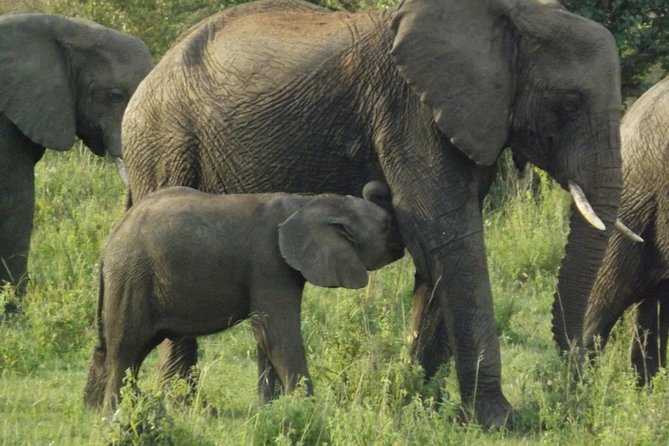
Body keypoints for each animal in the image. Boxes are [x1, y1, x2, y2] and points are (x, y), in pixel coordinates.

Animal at [83, 182, 404, 412]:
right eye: (386, 226)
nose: (403, 246)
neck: (308, 202)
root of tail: (108, 244)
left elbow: (265, 336)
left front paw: (273, 409)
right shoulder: (269, 262)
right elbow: (277, 333)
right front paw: (308, 409)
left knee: (117, 350)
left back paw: (96, 409)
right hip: (132, 278)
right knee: (125, 349)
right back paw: (115, 414)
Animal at [120, 0, 638, 427]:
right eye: (568, 103)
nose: (569, 388)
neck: (513, 14)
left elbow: (437, 252)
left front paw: (420, 403)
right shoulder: (410, 111)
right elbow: (448, 237)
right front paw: (498, 420)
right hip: (164, 140)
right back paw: (184, 407)